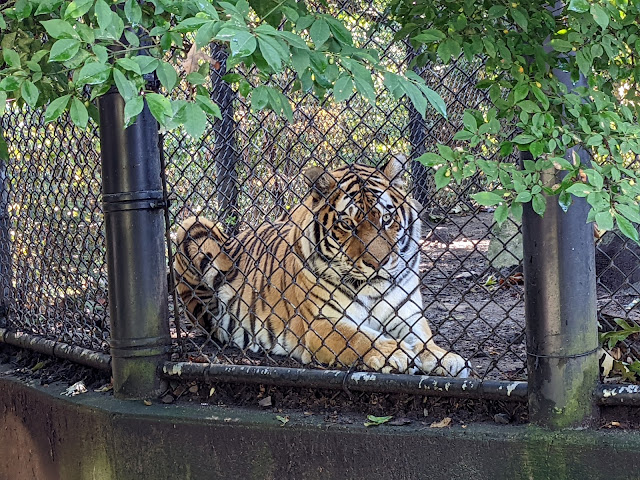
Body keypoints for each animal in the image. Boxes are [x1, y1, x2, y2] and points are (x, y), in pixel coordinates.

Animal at [174, 156, 469, 377]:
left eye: (386, 219)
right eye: (347, 224)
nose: (378, 263)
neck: (373, 288)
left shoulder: (408, 315)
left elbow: (424, 340)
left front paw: (446, 358)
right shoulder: (322, 324)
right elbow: (361, 338)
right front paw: (394, 352)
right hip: (192, 226)